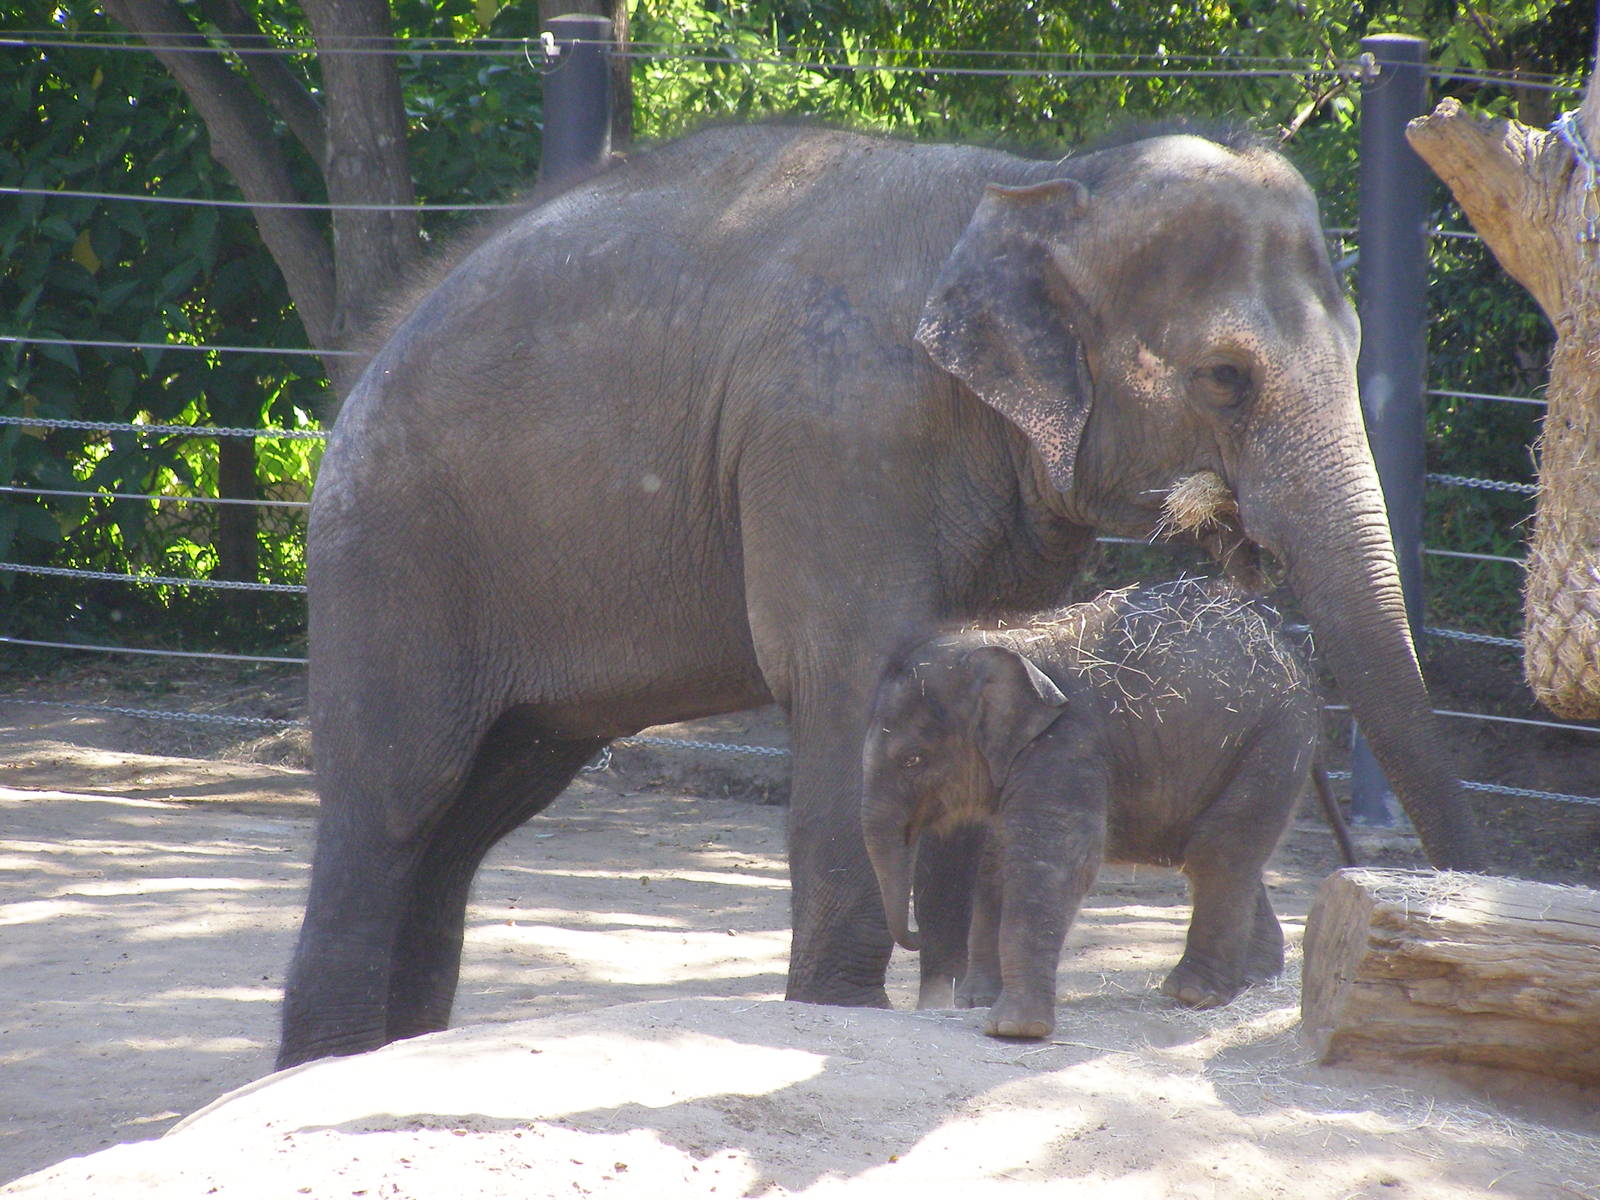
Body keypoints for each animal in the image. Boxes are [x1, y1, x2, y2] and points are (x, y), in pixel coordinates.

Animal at [861, 577, 1321, 1039]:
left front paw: (1014, 1029)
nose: (915, 934)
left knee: (1219, 847)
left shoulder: (1068, 744)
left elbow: (1055, 860)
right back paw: (1254, 978)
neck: (1007, 643)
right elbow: (998, 858)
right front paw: (977, 1002)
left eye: (912, 760)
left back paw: (1193, 994)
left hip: (1276, 739)